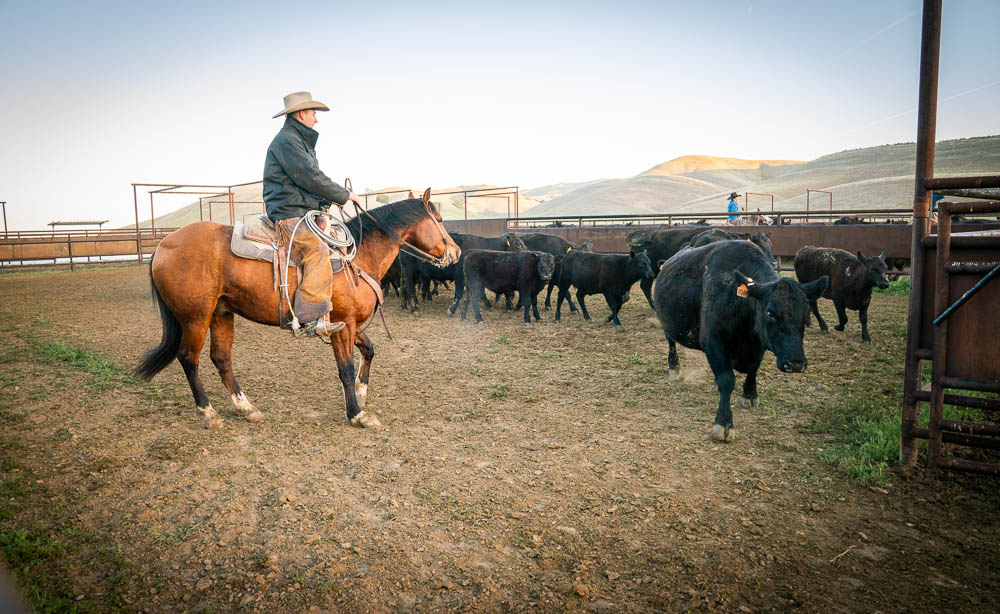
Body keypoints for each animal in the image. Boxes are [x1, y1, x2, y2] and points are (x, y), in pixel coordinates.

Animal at [134, 190, 460, 430]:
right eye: (440, 218)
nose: (456, 252)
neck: (357, 257)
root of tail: (162, 246)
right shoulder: (342, 325)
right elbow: (345, 368)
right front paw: (356, 413)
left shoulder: (349, 325)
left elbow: (369, 350)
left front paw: (362, 392)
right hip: (195, 317)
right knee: (189, 358)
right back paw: (209, 412)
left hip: (221, 313)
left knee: (221, 358)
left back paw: (246, 407)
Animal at [652, 241, 824, 442]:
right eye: (770, 313)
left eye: (807, 314)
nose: (795, 364)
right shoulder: (713, 344)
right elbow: (727, 380)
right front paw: (723, 423)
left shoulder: (758, 346)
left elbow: (753, 370)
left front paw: (750, 394)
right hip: (668, 326)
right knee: (671, 343)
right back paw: (674, 366)